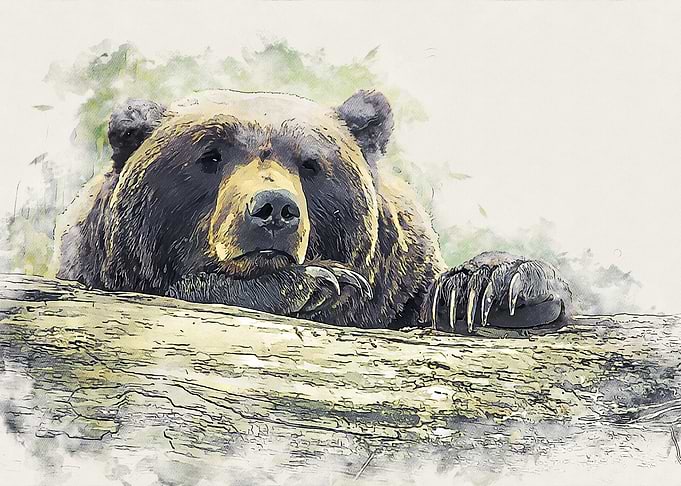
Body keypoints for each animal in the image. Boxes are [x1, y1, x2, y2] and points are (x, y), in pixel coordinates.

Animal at [52, 89, 572, 334]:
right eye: (210, 156)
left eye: (310, 164)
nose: (274, 209)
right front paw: (319, 282)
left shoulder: (398, 282)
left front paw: (495, 287)